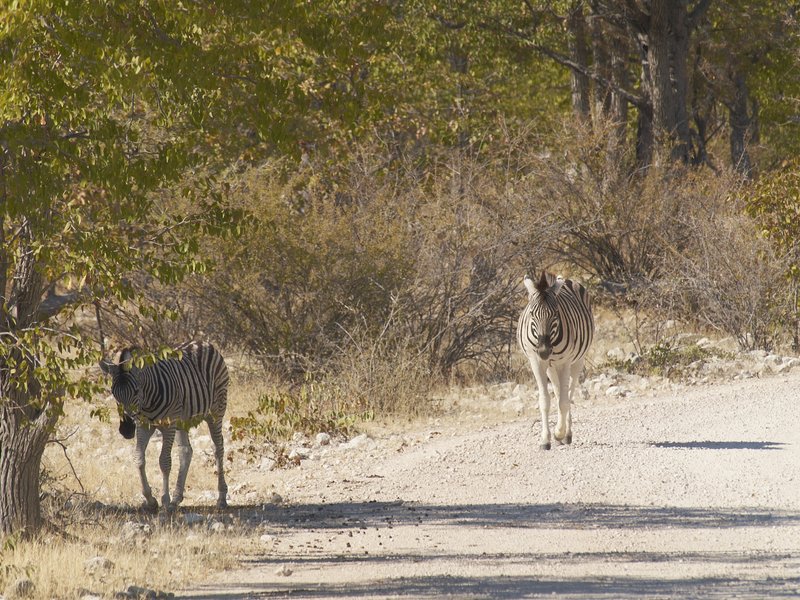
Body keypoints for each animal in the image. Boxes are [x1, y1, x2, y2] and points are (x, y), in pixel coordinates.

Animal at [100, 342, 229, 510]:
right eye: (113, 393)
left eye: (136, 391)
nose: (126, 430)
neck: (146, 402)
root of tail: (203, 343)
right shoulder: (144, 426)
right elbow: (139, 458)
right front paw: (151, 500)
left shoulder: (168, 425)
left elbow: (164, 461)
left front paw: (165, 501)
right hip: (182, 421)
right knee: (186, 451)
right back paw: (176, 499)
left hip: (216, 411)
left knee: (218, 447)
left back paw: (221, 498)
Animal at [517, 272, 594, 450]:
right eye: (532, 314)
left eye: (555, 313)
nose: (544, 350)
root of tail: (565, 279)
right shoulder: (536, 362)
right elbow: (545, 400)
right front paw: (545, 440)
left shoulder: (564, 362)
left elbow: (564, 401)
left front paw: (559, 433)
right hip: (551, 367)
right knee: (559, 392)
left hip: (576, 361)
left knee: (569, 393)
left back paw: (566, 433)